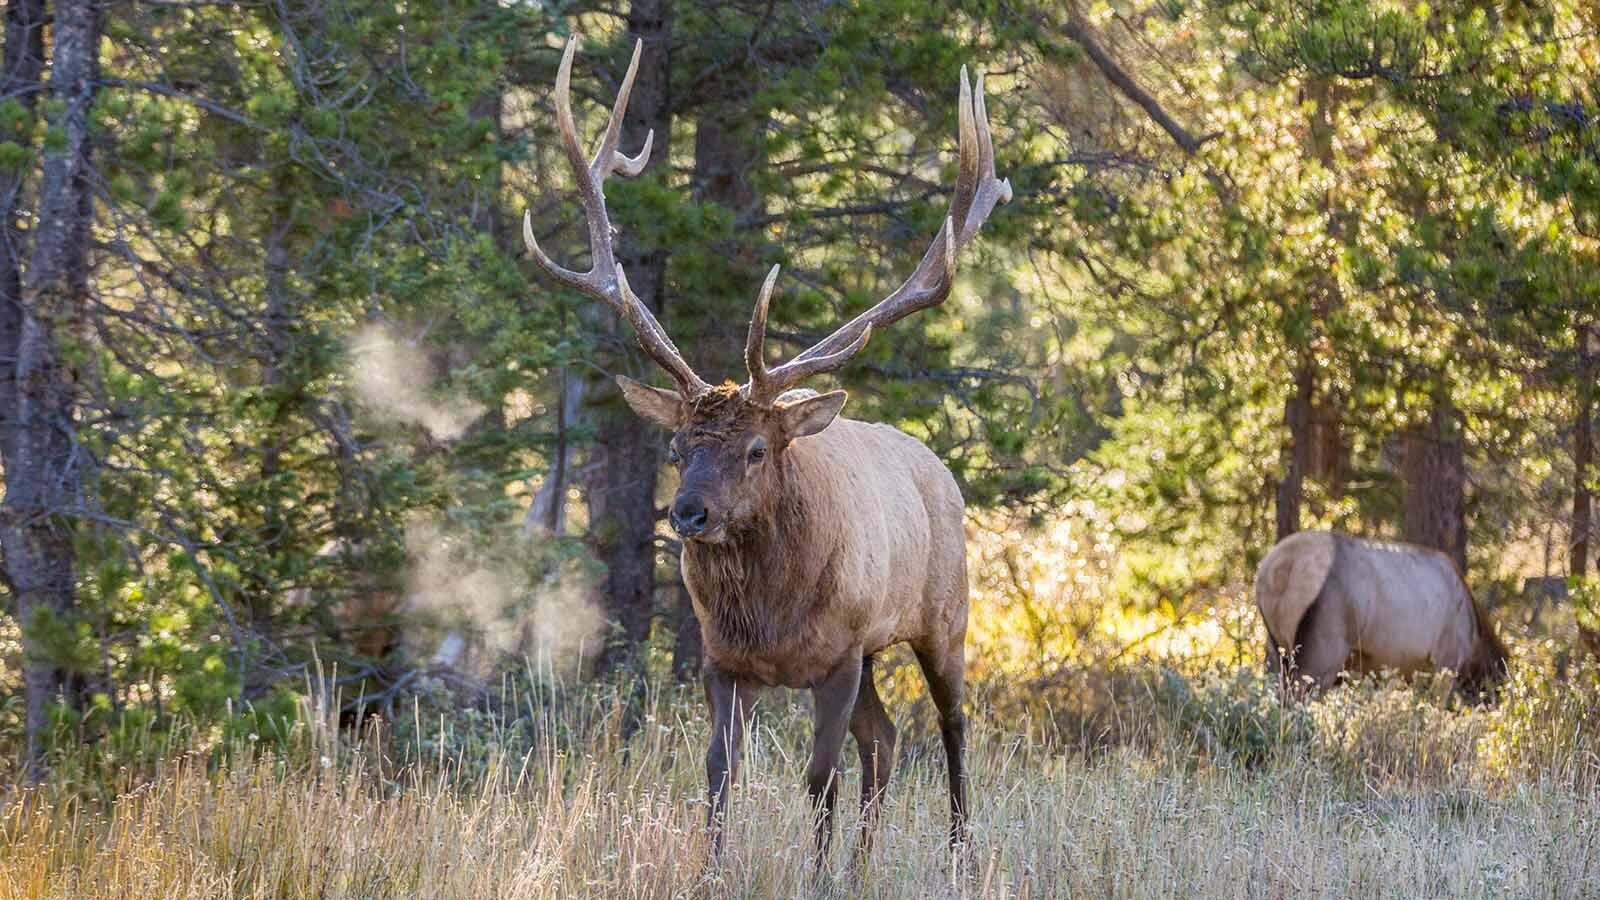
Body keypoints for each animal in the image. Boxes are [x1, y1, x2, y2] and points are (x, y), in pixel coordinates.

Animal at [522, 37, 1011, 860]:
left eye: (756, 449)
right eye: (678, 444)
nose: (688, 514)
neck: (771, 617)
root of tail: (938, 468)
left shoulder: (840, 655)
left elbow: (819, 779)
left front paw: (816, 872)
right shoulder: (724, 663)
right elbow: (719, 773)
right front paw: (715, 871)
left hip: (945, 617)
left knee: (950, 729)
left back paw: (958, 854)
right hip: (878, 655)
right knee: (884, 740)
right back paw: (864, 866)